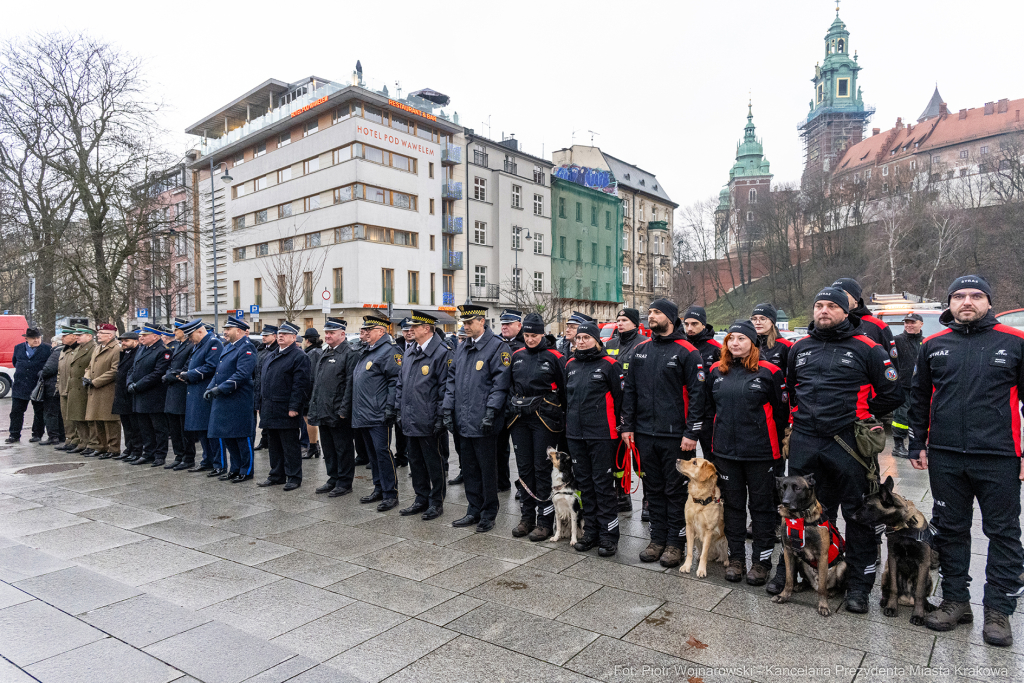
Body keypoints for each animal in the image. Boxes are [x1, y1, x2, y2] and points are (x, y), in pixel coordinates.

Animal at [774, 479, 847, 618]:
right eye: (782, 488)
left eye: (797, 488)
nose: (785, 502)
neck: (800, 518)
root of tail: (815, 584)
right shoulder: (788, 552)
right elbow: (789, 579)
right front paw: (784, 596)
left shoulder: (822, 555)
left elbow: (823, 589)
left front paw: (823, 606)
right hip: (799, 560)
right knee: (806, 580)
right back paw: (801, 585)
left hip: (842, 567)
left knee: (836, 587)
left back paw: (831, 592)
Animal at [851, 475, 937, 626]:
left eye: (868, 505)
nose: (852, 517)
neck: (904, 528)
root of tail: (907, 600)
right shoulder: (892, 559)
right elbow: (893, 588)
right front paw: (891, 607)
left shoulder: (923, 563)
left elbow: (920, 593)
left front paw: (918, 615)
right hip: (886, 573)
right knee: (887, 590)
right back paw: (885, 601)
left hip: (929, 578)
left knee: (922, 594)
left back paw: (927, 605)